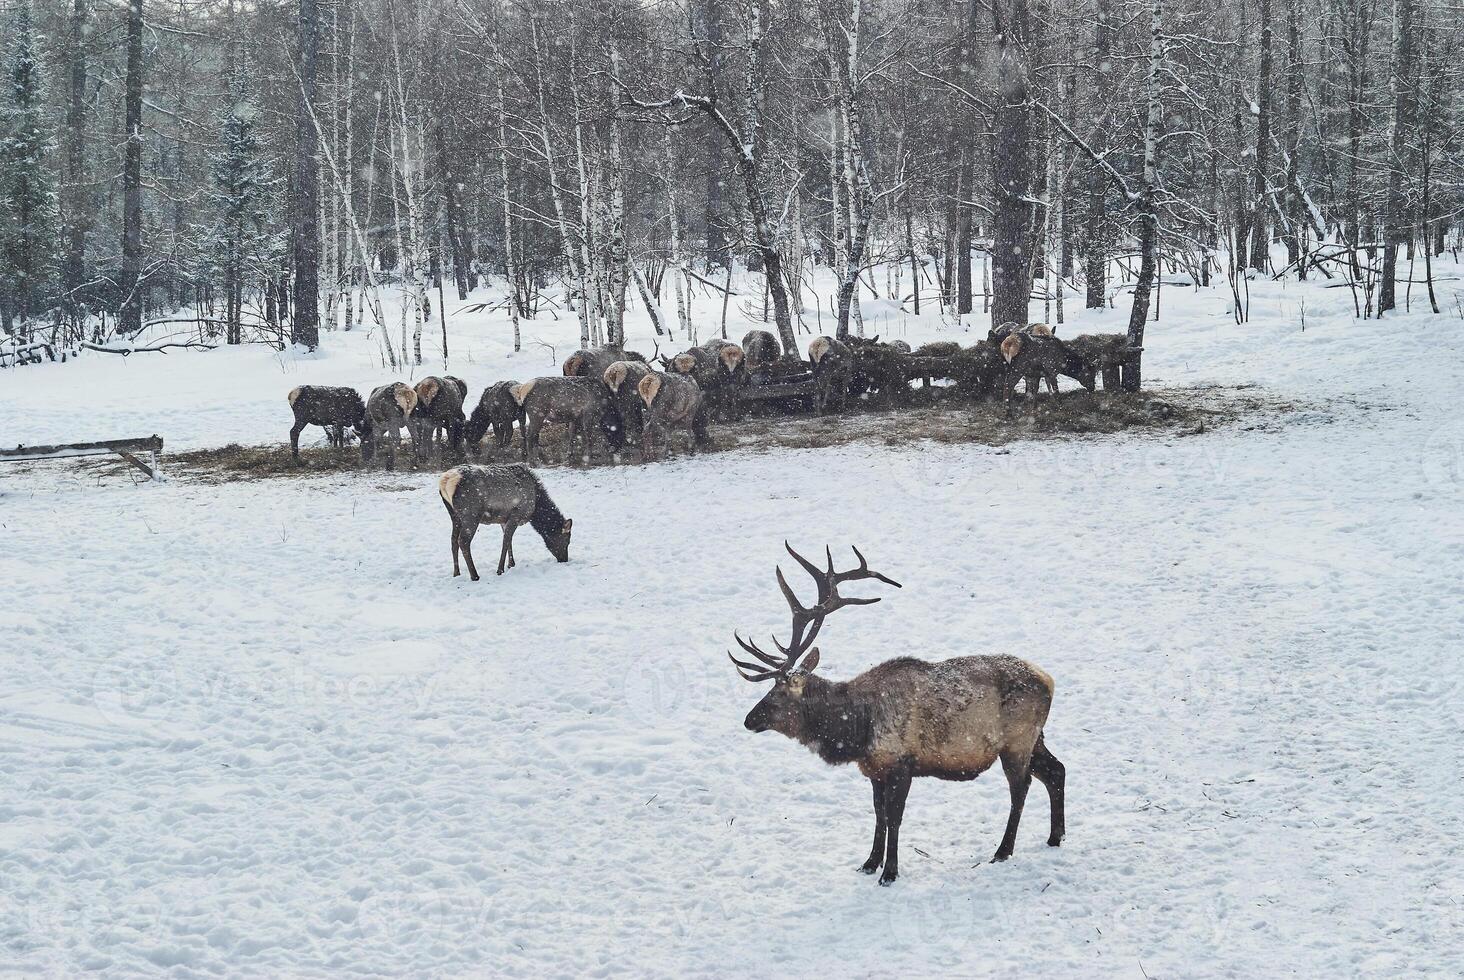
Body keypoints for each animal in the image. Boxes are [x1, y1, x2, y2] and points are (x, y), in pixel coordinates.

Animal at [433, 462, 570, 577]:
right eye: (567, 540)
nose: (564, 559)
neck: (535, 504)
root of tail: (446, 480)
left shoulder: (504, 519)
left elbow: (508, 540)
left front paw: (511, 564)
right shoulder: (516, 513)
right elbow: (506, 540)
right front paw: (500, 570)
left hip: (454, 515)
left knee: (453, 540)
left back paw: (456, 573)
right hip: (470, 514)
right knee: (463, 541)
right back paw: (475, 575)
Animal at [729, 539, 1065, 884]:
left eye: (778, 694)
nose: (748, 720)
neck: (858, 730)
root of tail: (1049, 680)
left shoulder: (902, 764)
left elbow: (894, 818)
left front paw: (889, 872)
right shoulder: (874, 769)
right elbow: (878, 814)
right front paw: (869, 862)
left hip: (1017, 741)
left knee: (1021, 787)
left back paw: (1003, 850)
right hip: (1035, 738)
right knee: (1056, 770)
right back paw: (1055, 836)